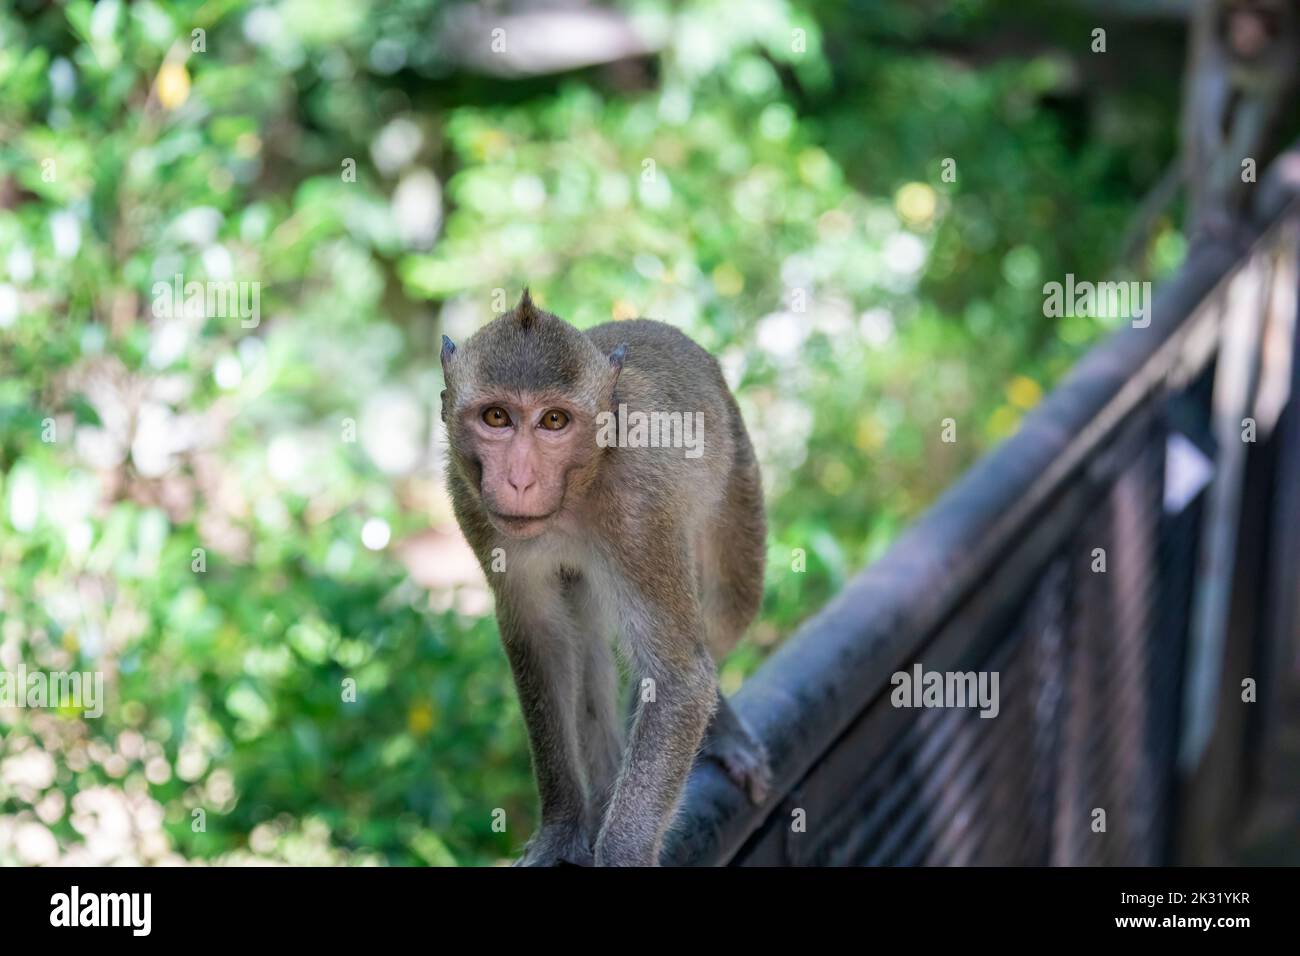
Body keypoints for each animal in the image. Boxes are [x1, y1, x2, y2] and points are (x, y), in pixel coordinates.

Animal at [440, 290, 771, 866]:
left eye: (554, 421)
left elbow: (680, 679)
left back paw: (720, 729)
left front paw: (622, 851)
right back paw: (599, 799)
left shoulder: (639, 506)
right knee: (586, 636)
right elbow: (543, 646)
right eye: (496, 416)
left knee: (729, 609)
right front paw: (561, 829)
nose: (520, 480)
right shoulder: (471, 503)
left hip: (738, 475)